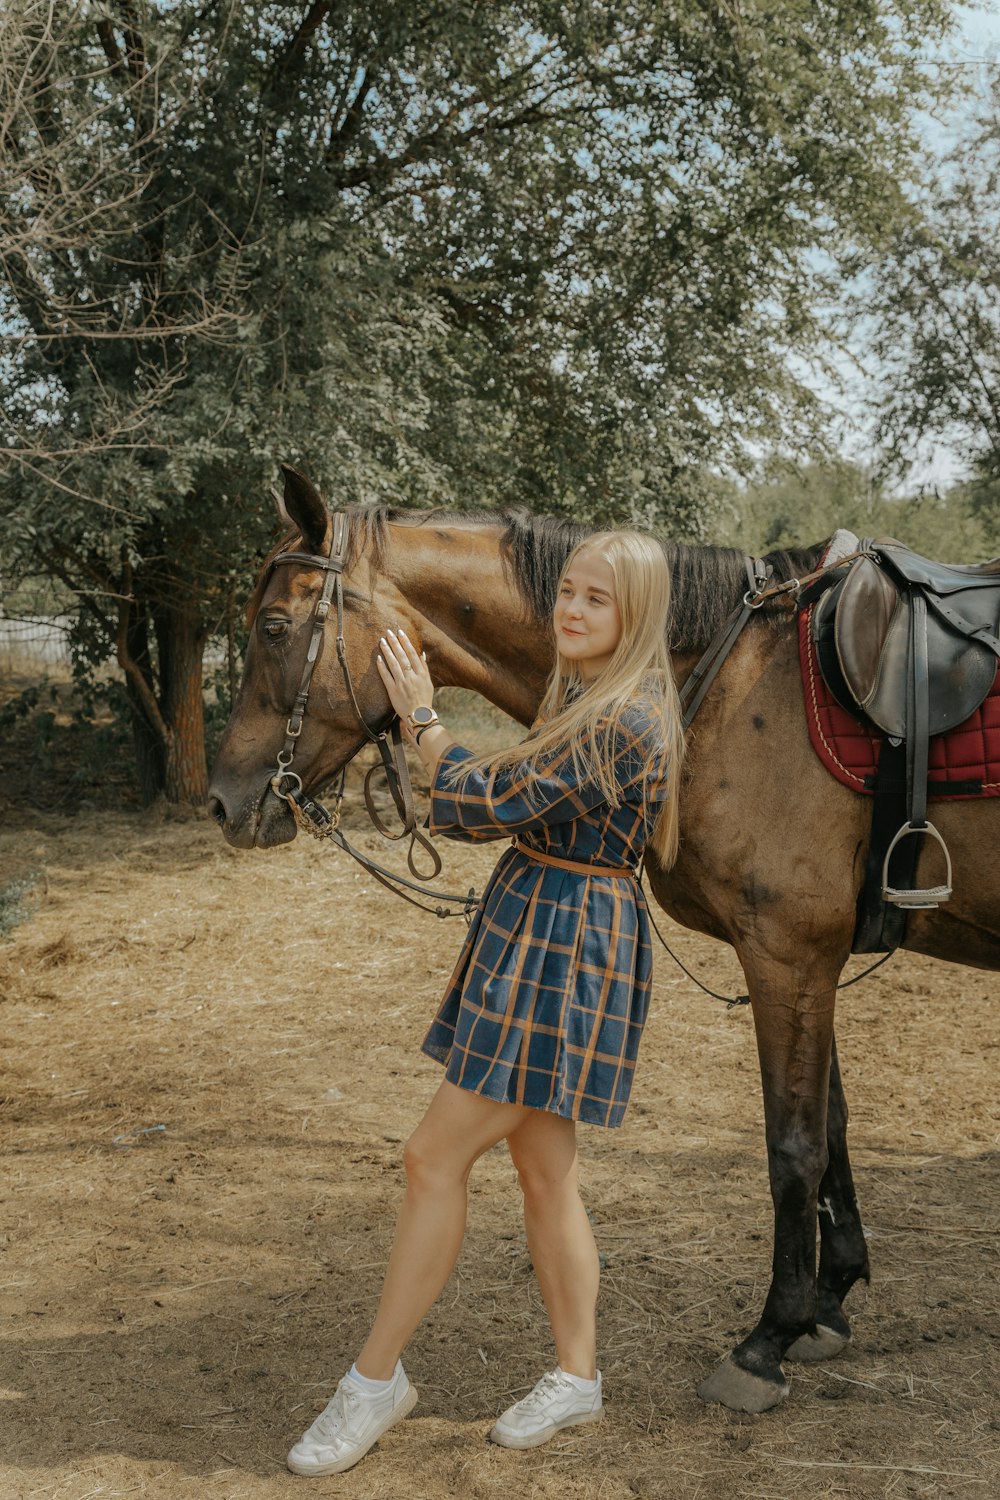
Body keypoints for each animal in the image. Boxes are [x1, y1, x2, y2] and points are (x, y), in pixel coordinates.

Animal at [206, 468, 995, 1416]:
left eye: (274, 627)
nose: (223, 800)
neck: (729, 677)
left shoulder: (789, 954)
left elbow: (794, 1145)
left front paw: (769, 1337)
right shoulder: (815, 960)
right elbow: (833, 1127)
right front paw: (830, 1302)